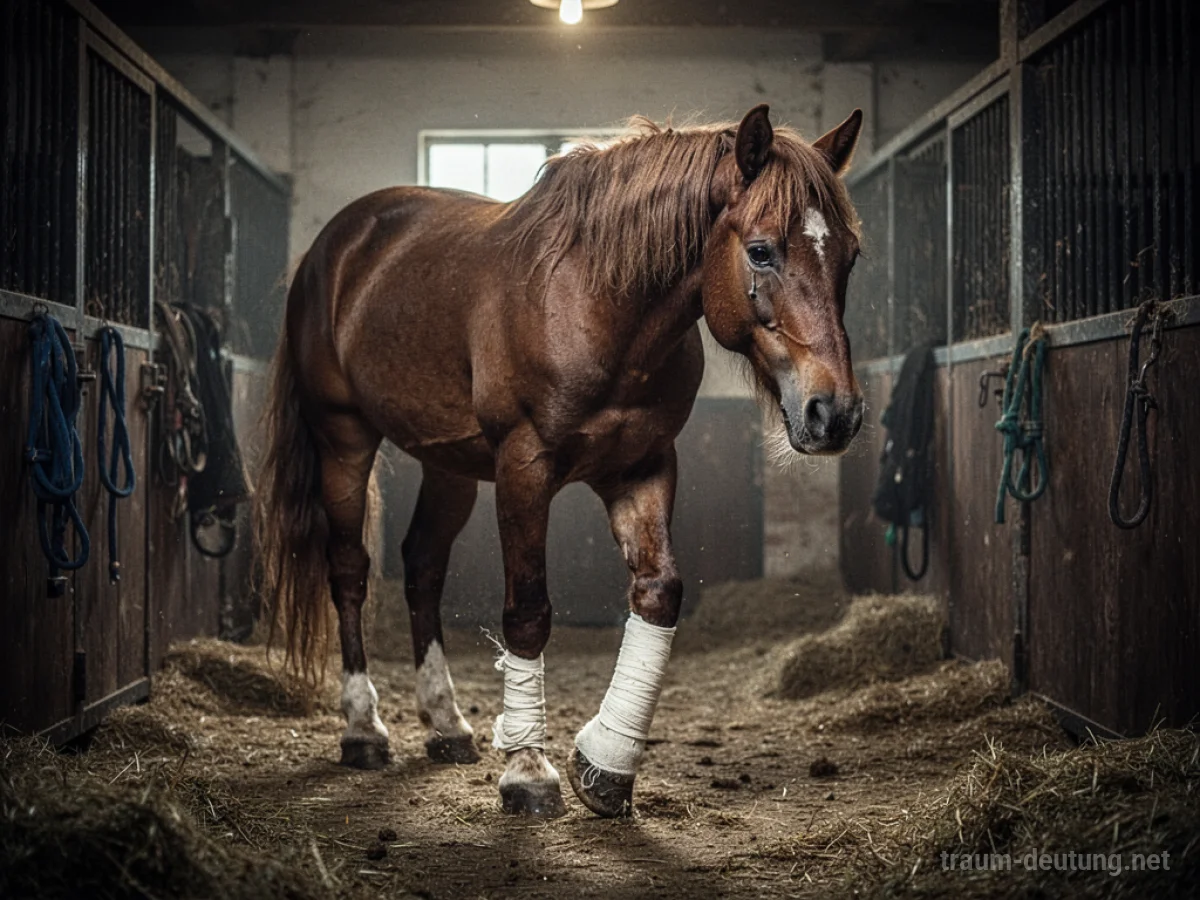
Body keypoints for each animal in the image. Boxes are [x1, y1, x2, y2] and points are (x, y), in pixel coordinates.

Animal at [254, 104, 865, 819]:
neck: (597, 303)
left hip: (448, 466)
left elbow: (659, 592)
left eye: (850, 256)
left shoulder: (643, 468)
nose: (835, 413)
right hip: (343, 438)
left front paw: (604, 765)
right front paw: (527, 771)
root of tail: (335, 245)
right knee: (349, 570)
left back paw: (445, 724)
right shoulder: (525, 468)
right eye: (762, 250)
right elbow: (528, 611)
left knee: (422, 567)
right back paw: (363, 729)